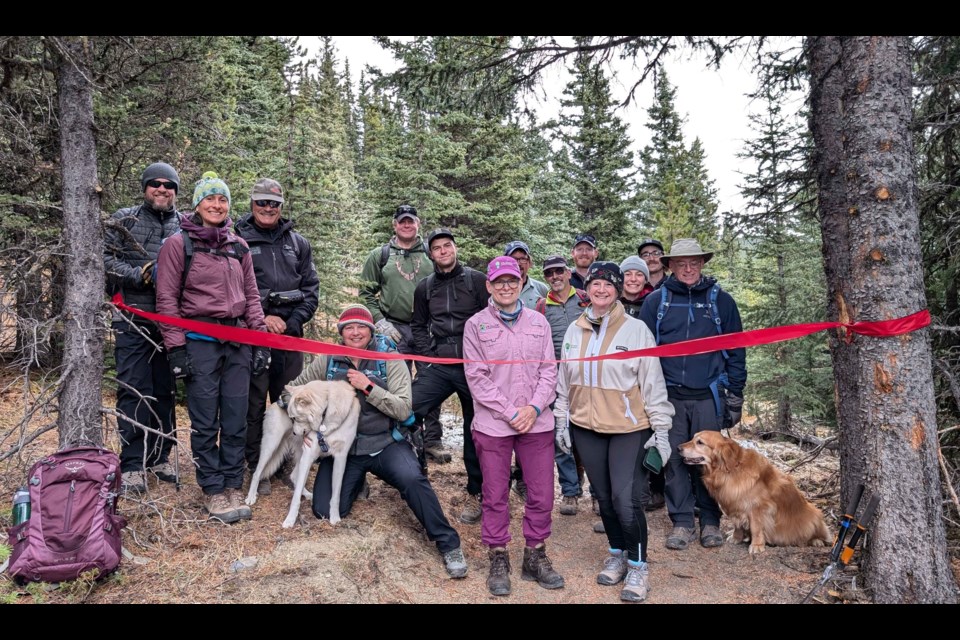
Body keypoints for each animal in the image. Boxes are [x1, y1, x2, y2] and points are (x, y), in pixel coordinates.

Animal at [246, 382, 362, 528]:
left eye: (295, 418)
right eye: (291, 418)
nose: (295, 432)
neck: (326, 419)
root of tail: (275, 402)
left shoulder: (340, 458)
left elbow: (336, 494)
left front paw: (335, 518)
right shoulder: (309, 454)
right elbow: (295, 498)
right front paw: (290, 520)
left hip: (301, 454)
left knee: (294, 476)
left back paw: (307, 494)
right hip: (271, 446)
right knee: (257, 473)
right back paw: (251, 497)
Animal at [676, 430, 832, 556]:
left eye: (700, 442)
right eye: (692, 438)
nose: (678, 448)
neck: (730, 470)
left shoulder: (758, 508)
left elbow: (756, 528)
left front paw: (756, 545)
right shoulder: (736, 504)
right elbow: (737, 524)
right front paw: (736, 537)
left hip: (814, 515)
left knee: (822, 534)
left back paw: (817, 541)